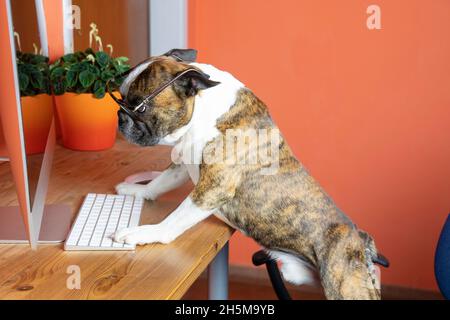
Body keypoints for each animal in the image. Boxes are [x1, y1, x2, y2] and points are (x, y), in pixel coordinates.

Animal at [114, 48, 382, 298]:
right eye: (121, 98)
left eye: (140, 106)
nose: (120, 117)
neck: (202, 109)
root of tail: (361, 243)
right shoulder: (183, 165)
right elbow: (159, 183)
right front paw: (136, 189)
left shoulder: (213, 188)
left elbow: (174, 221)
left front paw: (146, 232)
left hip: (344, 285)